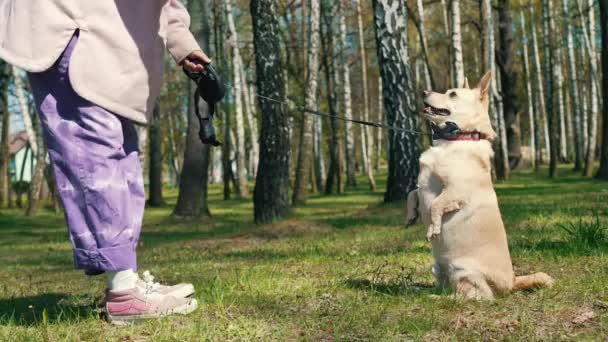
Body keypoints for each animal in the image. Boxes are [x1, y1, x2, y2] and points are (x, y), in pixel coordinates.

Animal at [406, 72, 552, 300]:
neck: (456, 138)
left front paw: (433, 227)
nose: (423, 91)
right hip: (438, 267)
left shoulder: (455, 191)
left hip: (463, 271)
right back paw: (422, 290)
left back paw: (436, 298)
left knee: (473, 297)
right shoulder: (423, 187)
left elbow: (436, 205)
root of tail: (512, 282)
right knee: (446, 286)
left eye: (452, 94)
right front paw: (411, 214)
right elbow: (413, 193)